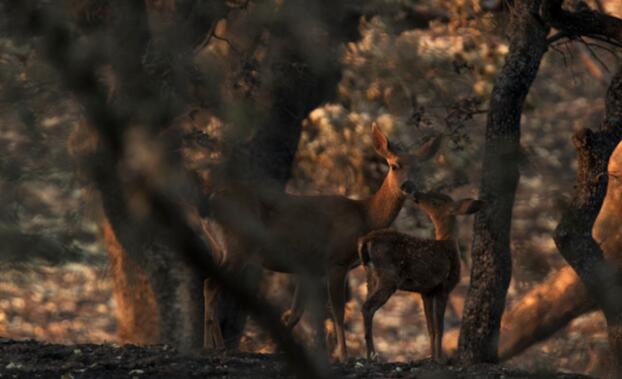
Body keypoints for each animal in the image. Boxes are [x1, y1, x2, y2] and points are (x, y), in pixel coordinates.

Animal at [207, 123, 442, 360]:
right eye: (394, 166)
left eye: (419, 168)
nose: (408, 186)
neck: (364, 215)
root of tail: (208, 206)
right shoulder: (336, 261)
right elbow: (337, 311)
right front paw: (344, 356)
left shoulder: (308, 268)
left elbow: (295, 314)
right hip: (238, 245)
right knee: (210, 285)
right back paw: (218, 346)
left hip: (221, 248)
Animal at [356, 193, 488, 362]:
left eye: (436, 202)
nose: (416, 196)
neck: (450, 244)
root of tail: (366, 240)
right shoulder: (444, 287)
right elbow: (440, 327)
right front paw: (440, 359)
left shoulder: (426, 292)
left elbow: (430, 327)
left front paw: (432, 357)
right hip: (388, 277)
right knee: (367, 307)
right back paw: (372, 354)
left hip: (370, 276)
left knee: (367, 306)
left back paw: (369, 353)